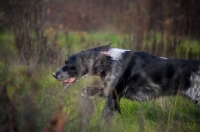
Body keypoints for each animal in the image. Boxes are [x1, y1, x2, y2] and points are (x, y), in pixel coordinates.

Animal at [52, 44, 200, 119]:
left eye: (69, 64)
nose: (54, 74)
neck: (110, 60)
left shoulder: (113, 96)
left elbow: (104, 117)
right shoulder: (108, 91)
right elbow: (85, 91)